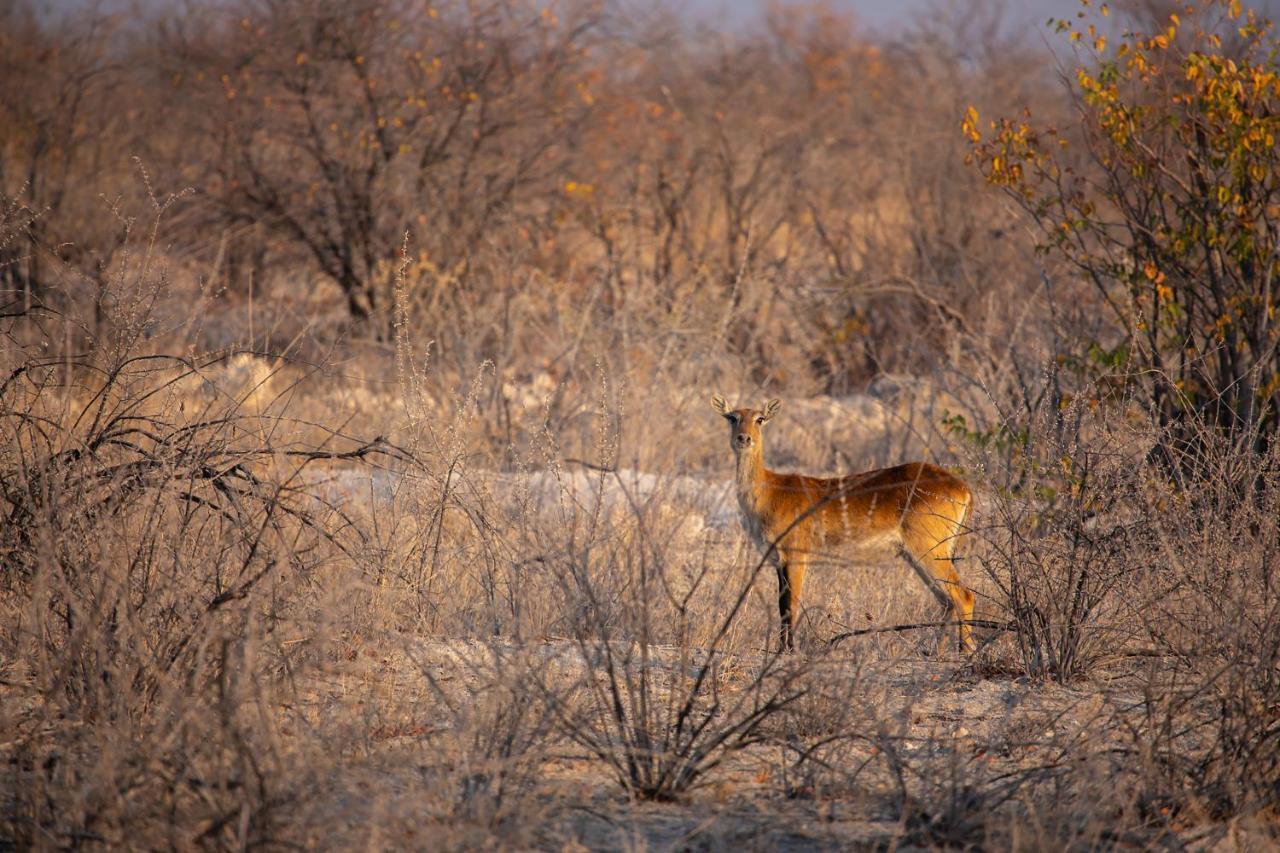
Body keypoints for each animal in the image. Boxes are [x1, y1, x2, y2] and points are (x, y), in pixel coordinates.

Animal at [716, 394, 972, 650]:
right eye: (732, 417)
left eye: (760, 418)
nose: (743, 438)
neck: (770, 492)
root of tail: (963, 487)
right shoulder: (778, 561)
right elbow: (782, 607)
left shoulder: (797, 555)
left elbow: (791, 606)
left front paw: (788, 651)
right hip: (918, 554)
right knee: (947, 601)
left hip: (929, 549)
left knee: (963, 595)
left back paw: (965, 651)